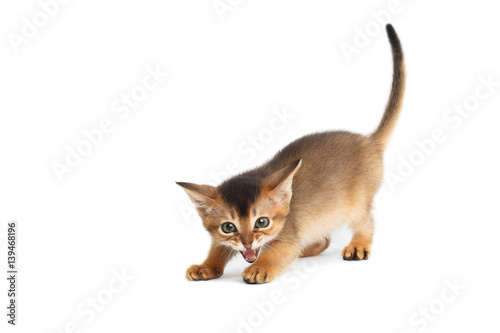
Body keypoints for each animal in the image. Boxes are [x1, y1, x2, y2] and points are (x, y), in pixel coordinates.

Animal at [178, 24, 404, 282]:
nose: (247, 243)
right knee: (324, 240)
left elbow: (276, 252)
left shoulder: (288, 235)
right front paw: (205, 266)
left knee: (367, 223)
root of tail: (368, 140)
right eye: (228, 227)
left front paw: (259, 268)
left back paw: (357, 245)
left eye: (262, 221)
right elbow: (218, 246)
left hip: (358, 203)